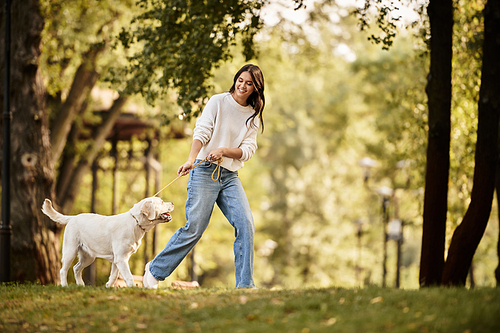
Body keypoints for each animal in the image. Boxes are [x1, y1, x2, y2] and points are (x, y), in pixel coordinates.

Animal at [41, 196, 174, 286]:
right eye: (162, 202)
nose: (172, 203)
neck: (135, 222)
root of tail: (73, 217)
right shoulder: (121, 258)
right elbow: (129, 277)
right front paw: (133, 288)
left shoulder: (117, 260)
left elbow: (114, 276)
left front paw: (108, 287)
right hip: (70, 251)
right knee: (63, 270)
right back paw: (65, 286)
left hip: (88, 257)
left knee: (76, 268)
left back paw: (81, 285)